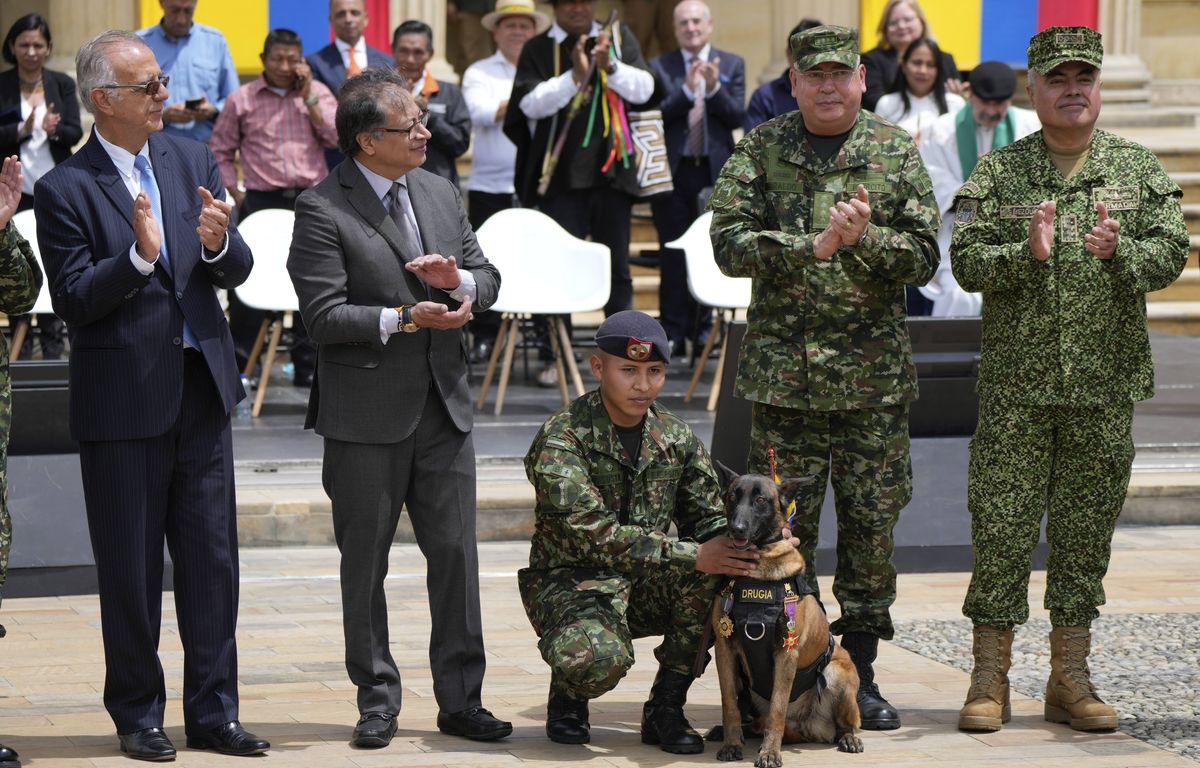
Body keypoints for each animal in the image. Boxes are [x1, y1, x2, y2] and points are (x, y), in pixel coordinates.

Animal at [710, 465, 864, 763]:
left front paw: (770, 752)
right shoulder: (725, 650)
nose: (736, 529)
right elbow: (728, 703)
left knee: (848, 723)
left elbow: (777, 710)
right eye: (733, 496)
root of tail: (809, 728)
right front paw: (731, 744)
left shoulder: (786, 653)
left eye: (760, 500)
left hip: (838, 672)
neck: (757, 573)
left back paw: (849, 737)